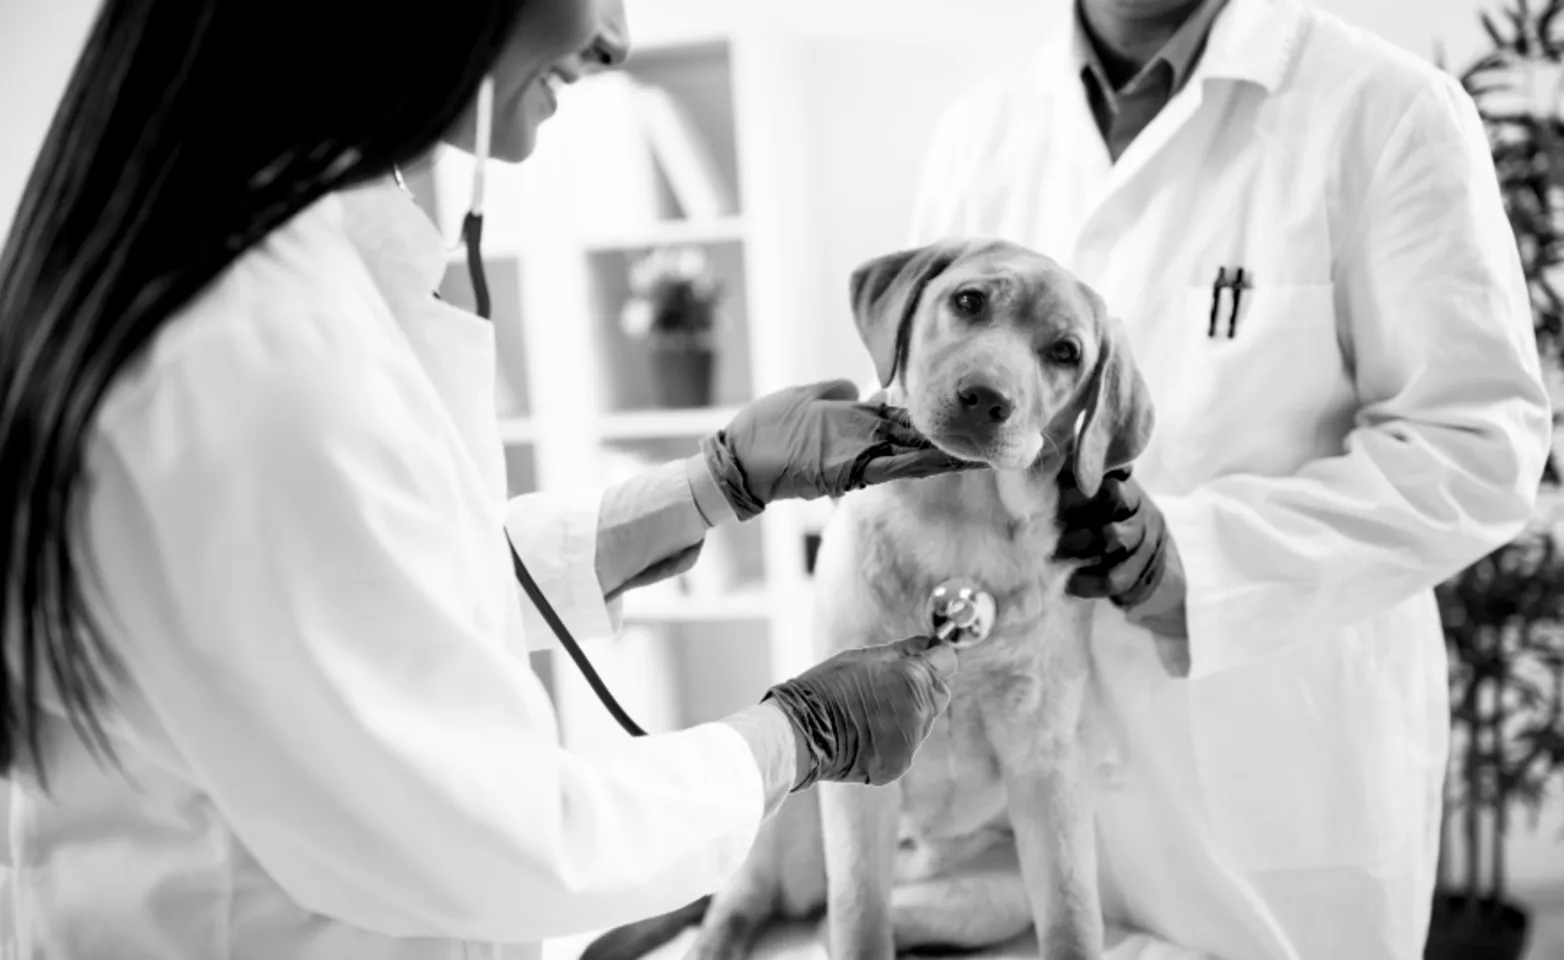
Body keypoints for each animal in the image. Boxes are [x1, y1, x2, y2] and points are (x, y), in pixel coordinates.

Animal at [581, 237, 1157, 960]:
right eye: (969, 300)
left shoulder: (1046, 771)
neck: (960, 523)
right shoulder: (858, 793)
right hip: (784, 809)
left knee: (848, 921)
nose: (986, 398)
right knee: (751, 904)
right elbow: (859, 916)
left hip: (991, 897)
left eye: (1065, 352)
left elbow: (1072, 923)